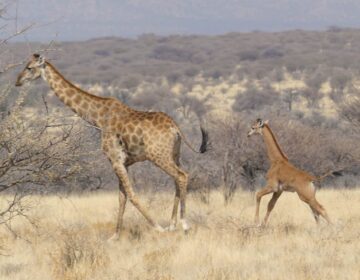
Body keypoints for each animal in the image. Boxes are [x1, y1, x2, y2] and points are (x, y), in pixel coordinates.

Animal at [16, 53, 208, 240]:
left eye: (29, 67)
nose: (18, 81)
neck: (99, 118)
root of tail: (175, 127)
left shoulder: (115, 160)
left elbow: (131, 195)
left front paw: (158, 228)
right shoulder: (124, 162)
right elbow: (122, 197)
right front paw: (115, 236)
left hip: (158, 155)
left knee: (181, 176)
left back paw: (183, 225)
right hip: (174, 154)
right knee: (177, 179)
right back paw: (172, 224)